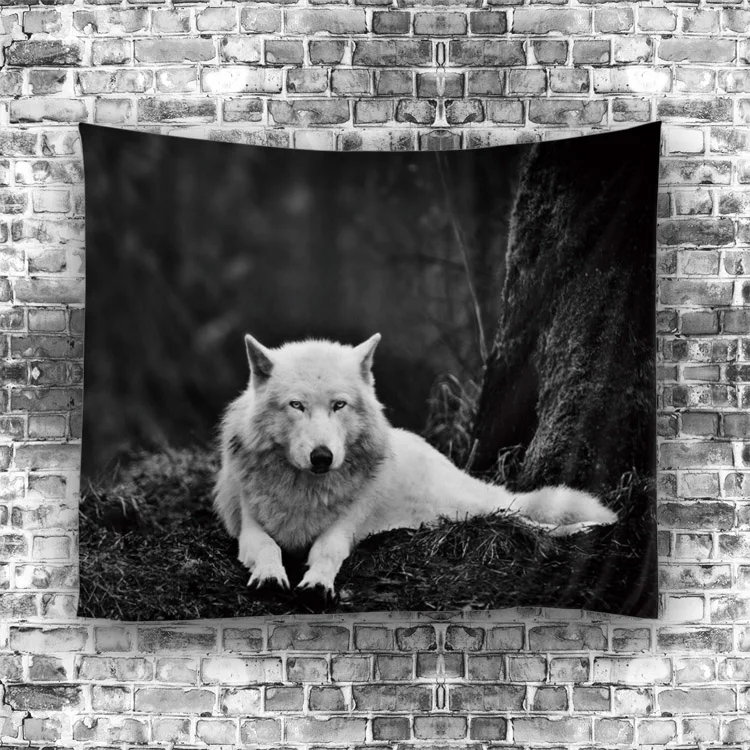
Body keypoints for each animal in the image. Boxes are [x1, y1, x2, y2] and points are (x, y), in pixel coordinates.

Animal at [213, 334, 618, 596]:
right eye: (296, 405)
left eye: (339, 405)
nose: (322, 457)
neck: (305, 491)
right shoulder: (249, 528)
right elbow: (268, 548)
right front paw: (270, 576)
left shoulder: (343, 529)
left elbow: (326, 551)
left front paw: (317, 583)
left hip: (467, 509)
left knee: (526, 519)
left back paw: (589, 527)